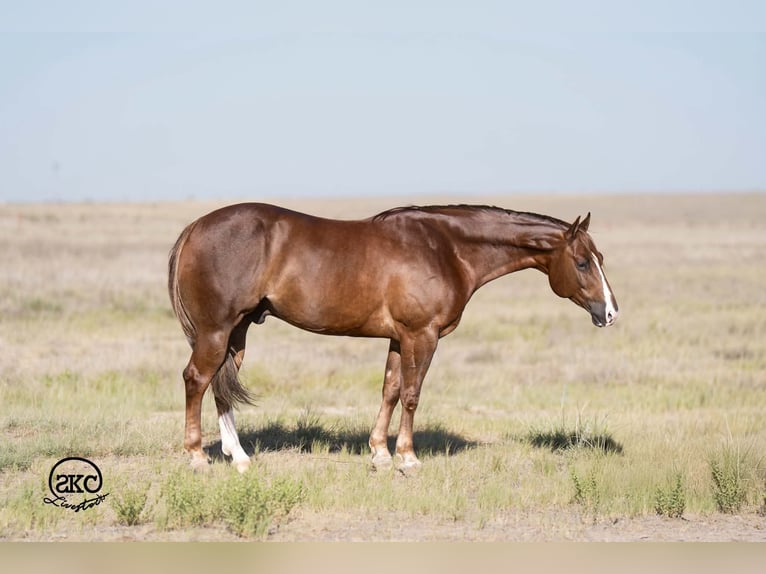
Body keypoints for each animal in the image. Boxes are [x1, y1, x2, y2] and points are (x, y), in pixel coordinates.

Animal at [168, 203, 618, 473]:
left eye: (599, 258)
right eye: (582, 262)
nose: (610, 313)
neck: (447, 249)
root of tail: (196, 226)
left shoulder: (399, 338)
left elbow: (390, 389)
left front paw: (380, 453)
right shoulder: (423, 335)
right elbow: (412, 394)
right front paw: (407, 458)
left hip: (237, 331)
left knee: (220, 387)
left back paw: (240, 457)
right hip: (216, 330)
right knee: (196, 380)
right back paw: (197, 457)